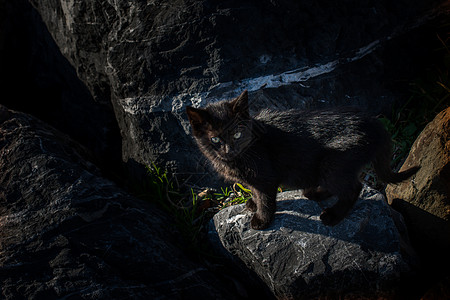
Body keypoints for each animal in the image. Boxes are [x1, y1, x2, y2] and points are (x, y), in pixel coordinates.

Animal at [185, 90, 418, 229]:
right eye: (215, 139)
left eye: (237, 134)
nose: (229, 149)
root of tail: (373, 123)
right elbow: (255, 192)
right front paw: (252, 202)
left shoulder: (266, 177)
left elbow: (266, 199)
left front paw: (262, 219)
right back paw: (316, 192)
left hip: (333, 164)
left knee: (354, 188)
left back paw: (333, 215)